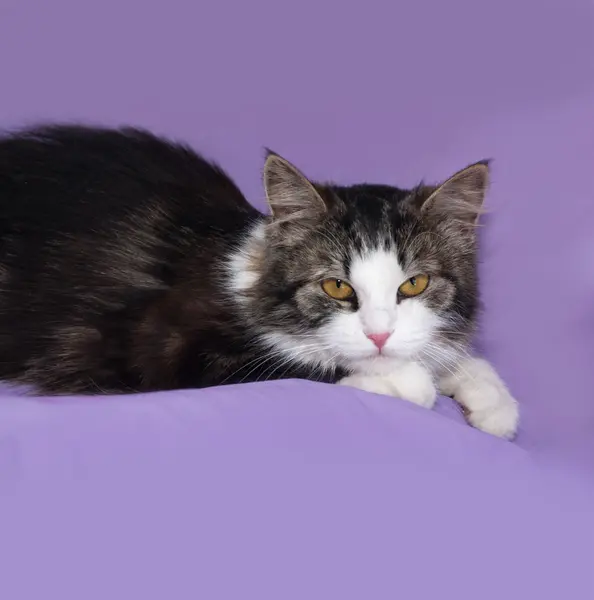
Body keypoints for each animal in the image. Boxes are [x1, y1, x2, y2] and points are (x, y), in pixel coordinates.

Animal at [0, 124, 520, 438]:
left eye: (414, 285)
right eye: (336, 287)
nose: (378, 335)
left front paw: (492, 401)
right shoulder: (161, 348)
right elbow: (309, 365)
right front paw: (404, 380)